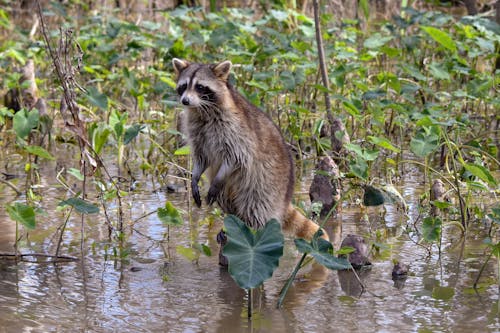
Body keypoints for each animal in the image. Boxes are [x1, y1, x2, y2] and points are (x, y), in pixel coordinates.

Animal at [173, 58, 328, 241]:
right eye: (184, 86)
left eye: (200, 87)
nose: (185, 101)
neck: (202, 110)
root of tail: (284, 200)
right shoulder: (197, 131)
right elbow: (202, 158)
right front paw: (195, 177)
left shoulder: (235, 131)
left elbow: (236, 158)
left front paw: (217, 178)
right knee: (226, 197)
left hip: (266, 185)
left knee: (255, 208)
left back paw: (252, 228)